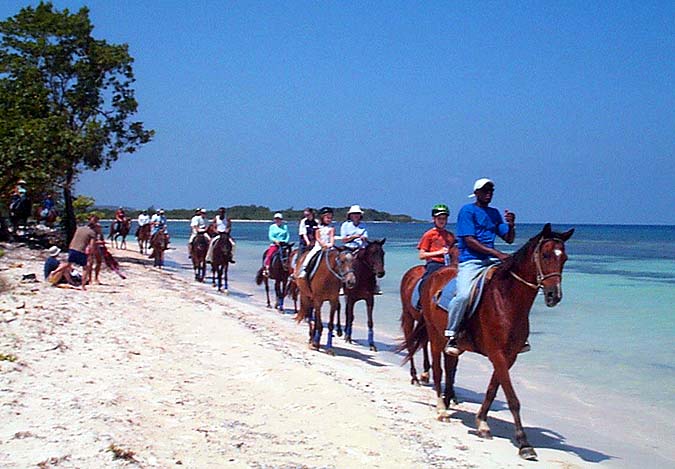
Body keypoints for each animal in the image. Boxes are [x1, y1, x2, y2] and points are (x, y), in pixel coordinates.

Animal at [404, 224, 572, 460]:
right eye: (546, 255)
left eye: (564, 258)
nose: (553, 296)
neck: (506, 299)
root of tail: (432, 276)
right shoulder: (497, 354)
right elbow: (512, 399)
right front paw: (524, 443)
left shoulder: (508, 357)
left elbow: (493, 390)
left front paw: (482, 423)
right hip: (435, 336)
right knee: (437, 370)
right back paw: (441, 409)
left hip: (451, 344)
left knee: (450, 366)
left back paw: (448, 401)